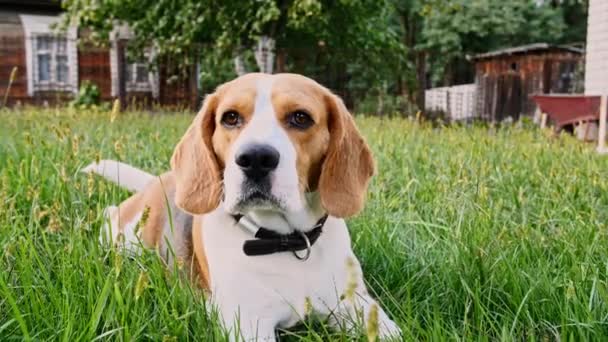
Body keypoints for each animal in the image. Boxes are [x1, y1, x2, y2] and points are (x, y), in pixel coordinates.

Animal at [83, 72, 402, 340]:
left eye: (301, 117)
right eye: (231, 117)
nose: (256, 158)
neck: (286, 243)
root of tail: (158, 181)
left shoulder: (359, 307)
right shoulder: (248, 324)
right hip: (124, 235)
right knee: (109, 216)